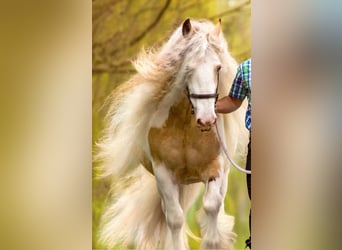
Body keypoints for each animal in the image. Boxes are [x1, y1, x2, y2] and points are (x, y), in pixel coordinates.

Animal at [96, 18, 248, 250]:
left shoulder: (215, 170)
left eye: (218, 67)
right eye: (189, 67)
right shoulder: (164, 174)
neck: (185, 126)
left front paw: (213, 241)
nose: (206, 120)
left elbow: (211, 208)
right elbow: (175, 219)